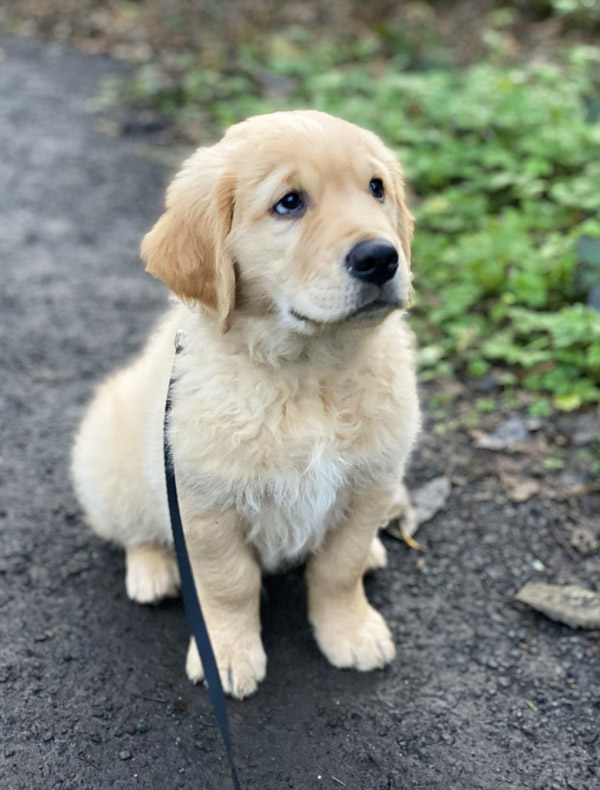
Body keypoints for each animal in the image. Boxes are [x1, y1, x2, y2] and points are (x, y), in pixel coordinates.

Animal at [70, 111, 420, 700]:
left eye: (376, 188)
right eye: (289, 203)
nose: (381, 258)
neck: (308, 372)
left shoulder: (372, 482)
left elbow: (340, 567)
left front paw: (349, 630)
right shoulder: (205, 505)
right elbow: (229, 583)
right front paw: (228, 654)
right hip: (110, 464)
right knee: (130, 531)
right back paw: (153, 571)